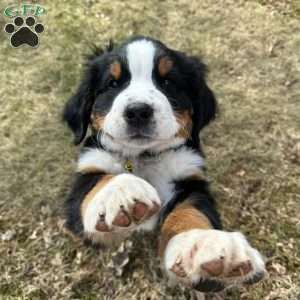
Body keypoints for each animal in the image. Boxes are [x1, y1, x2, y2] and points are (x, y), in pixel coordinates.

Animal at [62, 36, 264, 294]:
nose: (138, 111)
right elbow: (98, 182)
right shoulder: (85, 180)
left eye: (168, 81)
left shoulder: (192, 179)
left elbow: (191, 210)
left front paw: (206, 243)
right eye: (112, 84)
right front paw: (121, 191)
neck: (145, 156)